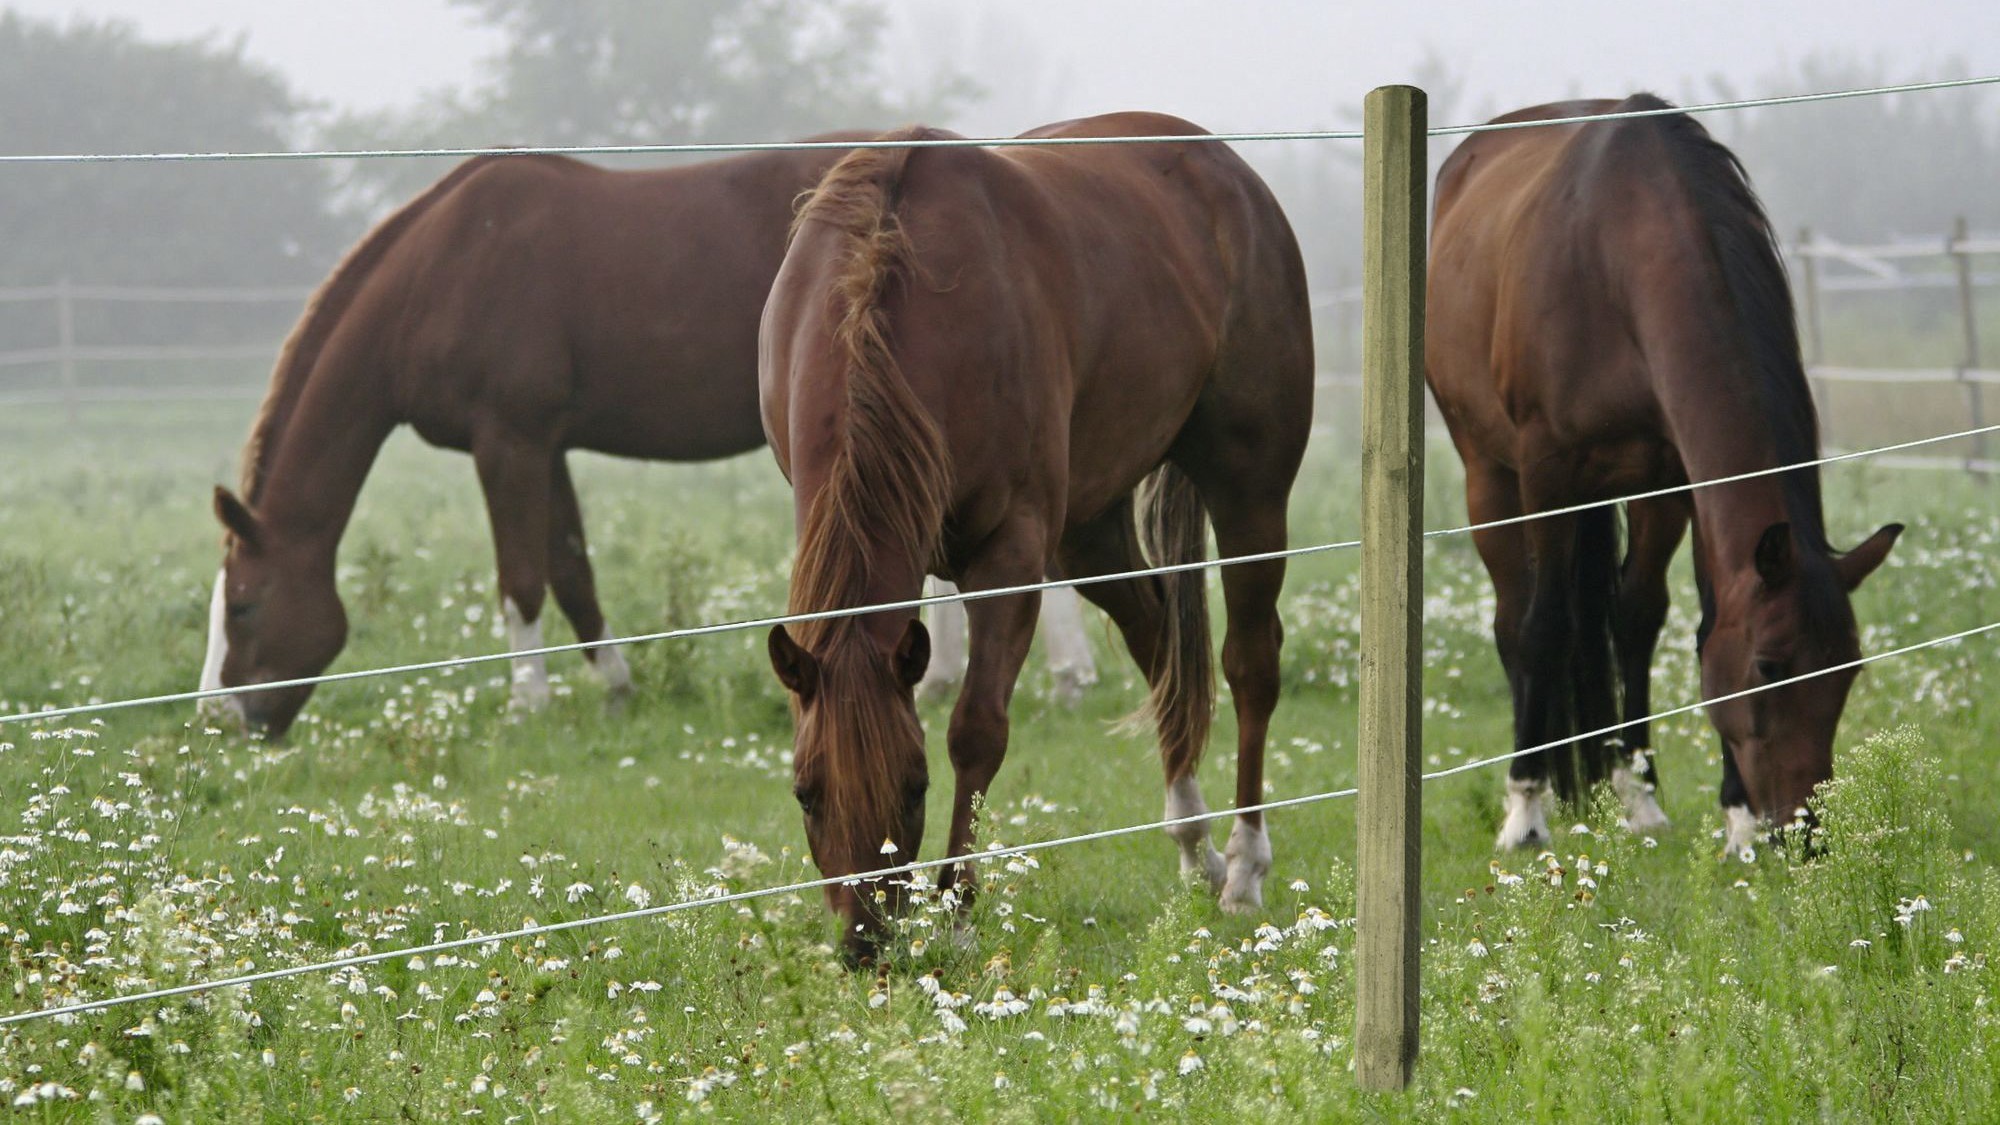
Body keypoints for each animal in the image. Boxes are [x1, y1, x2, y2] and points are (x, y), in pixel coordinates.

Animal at [199, 140, 1096, 732]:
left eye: (242, 606)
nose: (221, 714)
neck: (442, 271)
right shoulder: (545, 446)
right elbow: (571, 569)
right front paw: (616, 683)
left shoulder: (508, 442)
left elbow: (522, 578)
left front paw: (527, 702)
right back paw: (946, 673)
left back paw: (1066, 675)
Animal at [752, 111, 1312, 952]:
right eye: (804, 791)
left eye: (914, 786)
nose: (865, 941)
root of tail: (1231, 173)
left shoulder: (1009, 556)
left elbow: (976, 730)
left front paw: (956, 912)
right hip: (1089, 526)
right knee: (1159, 639)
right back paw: (1194, 845)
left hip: (1249, 488)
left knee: (1249, 662)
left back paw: (1244, 868)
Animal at [1432, 94, 1896, 848]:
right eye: (1769, 667)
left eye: (1848, 670)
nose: (1803, 833)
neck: (1619, 256)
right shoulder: (1546, 471)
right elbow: (1545, 626)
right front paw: (1525, 811)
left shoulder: (1679, 476)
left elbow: (1689, 620)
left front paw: (1729, 817)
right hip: (1489, 474)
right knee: (1514, 617)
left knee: (1628, 615)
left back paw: (1628, 790)